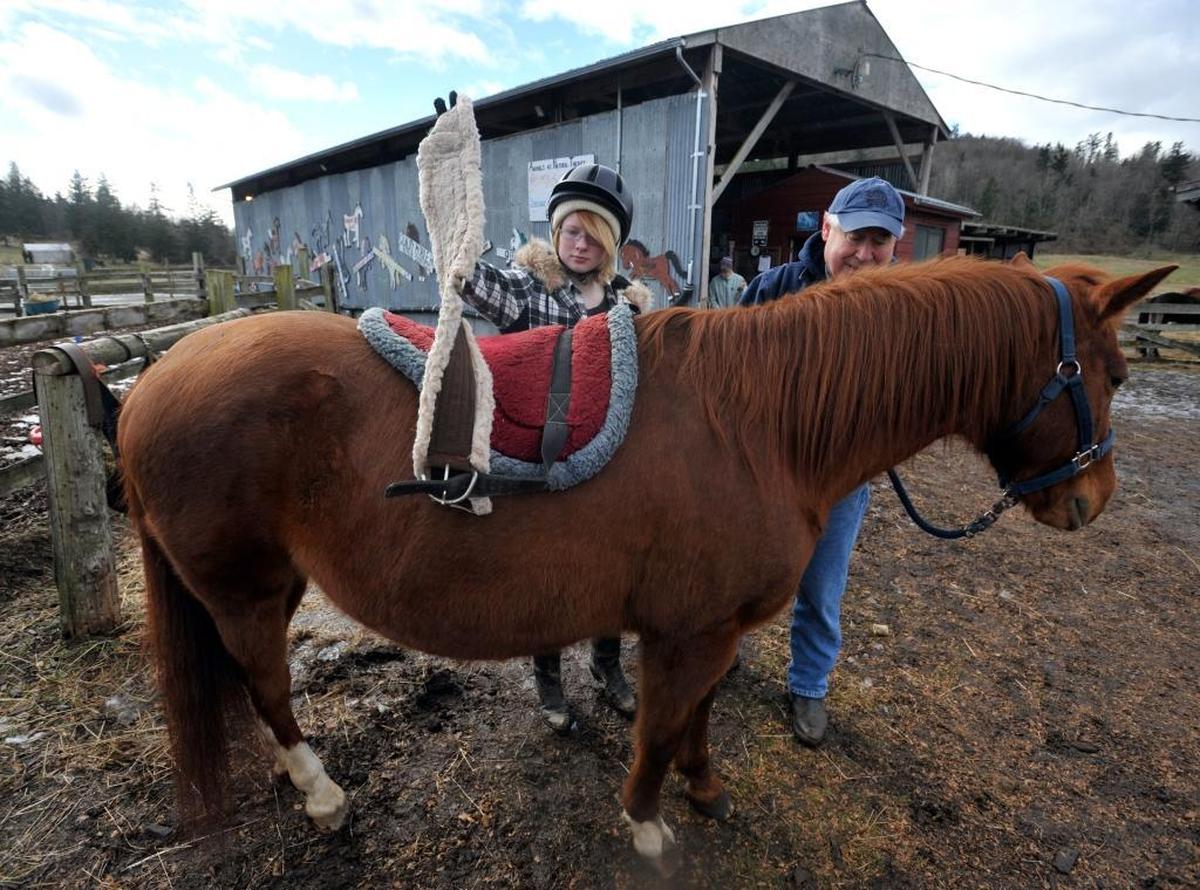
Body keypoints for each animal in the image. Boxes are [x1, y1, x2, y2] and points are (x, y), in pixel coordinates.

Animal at [116, 253, 1172, 872]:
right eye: (1114, 374)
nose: (1090, 502)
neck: (759, 424)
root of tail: (148, 383)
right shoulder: (686, 633)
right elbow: (660, 729)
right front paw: (650, 823)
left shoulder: (710, 628)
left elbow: (695, 719)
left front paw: (705, 791)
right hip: (245, 589)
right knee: (264, 686)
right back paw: (323, 794)